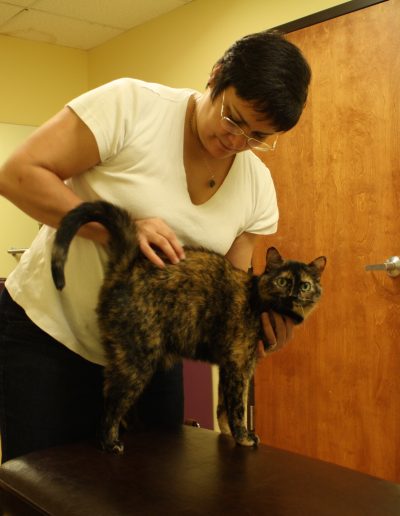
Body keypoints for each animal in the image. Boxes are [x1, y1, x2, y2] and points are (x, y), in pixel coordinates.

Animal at [50, 200, 324, 454]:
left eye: (305, 285)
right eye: (283, 282)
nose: (294, 296)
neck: (256, 300)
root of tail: (127, 266)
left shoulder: (230, 365)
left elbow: (223, 406)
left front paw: (227, 434)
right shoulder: (239, 365)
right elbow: (238, 407)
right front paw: (244, 438)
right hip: (137, 360)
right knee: (111, 402)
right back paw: (110, 443)